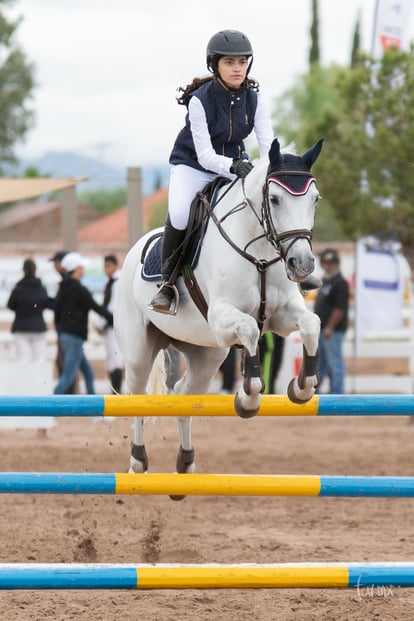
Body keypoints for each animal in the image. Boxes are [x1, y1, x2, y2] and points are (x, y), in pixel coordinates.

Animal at [115, 138, 324, 486]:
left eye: (315, 199)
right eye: (275, 199)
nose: (302, 265)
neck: (260, 251)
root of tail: (134, 250)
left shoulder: (283, 314)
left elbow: (312, 324)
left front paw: (302, 387)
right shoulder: (222, 316)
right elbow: (250, 331)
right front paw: (249, 397)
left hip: (206, 354)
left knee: (183, 395)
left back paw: (185, 464)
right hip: (139, 350)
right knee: (137, 395)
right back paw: (138, 460)